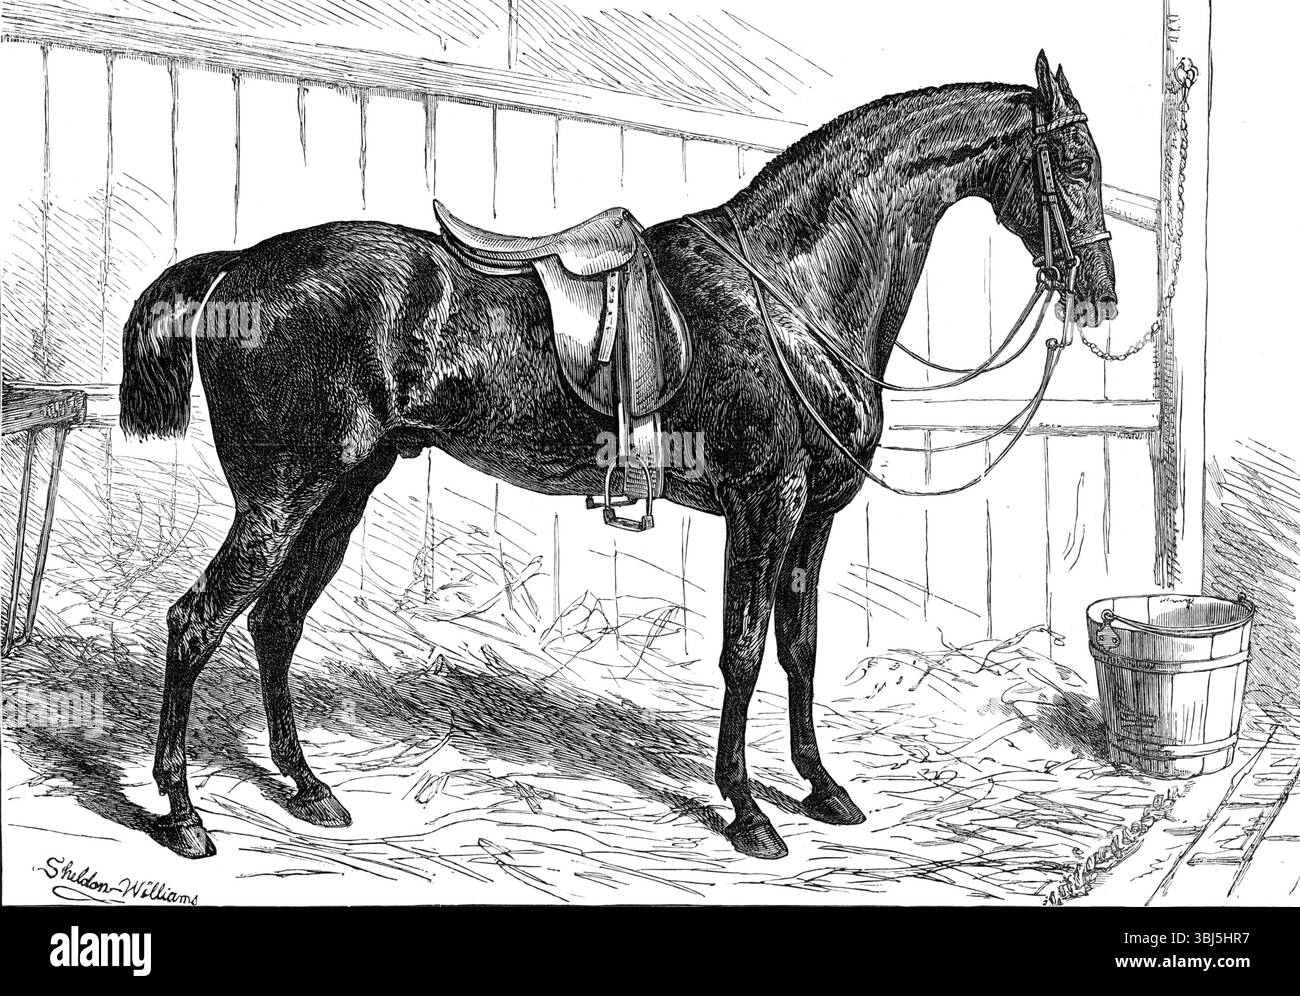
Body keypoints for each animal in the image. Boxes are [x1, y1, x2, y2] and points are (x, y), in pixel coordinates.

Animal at [120, 51, 1117, 860]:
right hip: (281, 499)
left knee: (274, 623)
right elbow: (743, 653)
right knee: (197, 621)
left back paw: (307, 789)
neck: (790, 287)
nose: (1102, 294)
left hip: (341, 493)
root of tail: (237, 267)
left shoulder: (815, 516)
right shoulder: (767, 502)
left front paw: (824, 789)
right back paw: (183, 816)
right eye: (1074, 162)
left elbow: (800, 647)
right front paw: (749, 813)